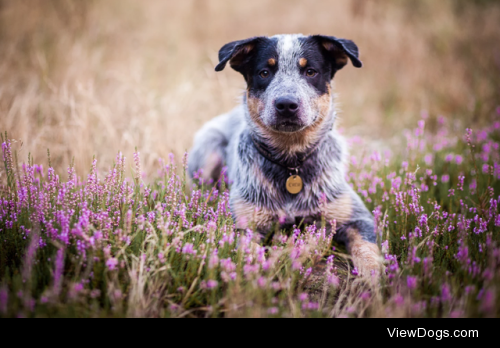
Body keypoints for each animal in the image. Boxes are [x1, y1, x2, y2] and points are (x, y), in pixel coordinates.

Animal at [189, 34, 380, 276]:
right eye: (264, 72)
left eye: (310, 72)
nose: (286, 104)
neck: (291, 160)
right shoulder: (244, 224)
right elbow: (251, 254)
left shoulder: (357, 217)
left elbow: (366, 251)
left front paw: (372, 282)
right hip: (208, 150)